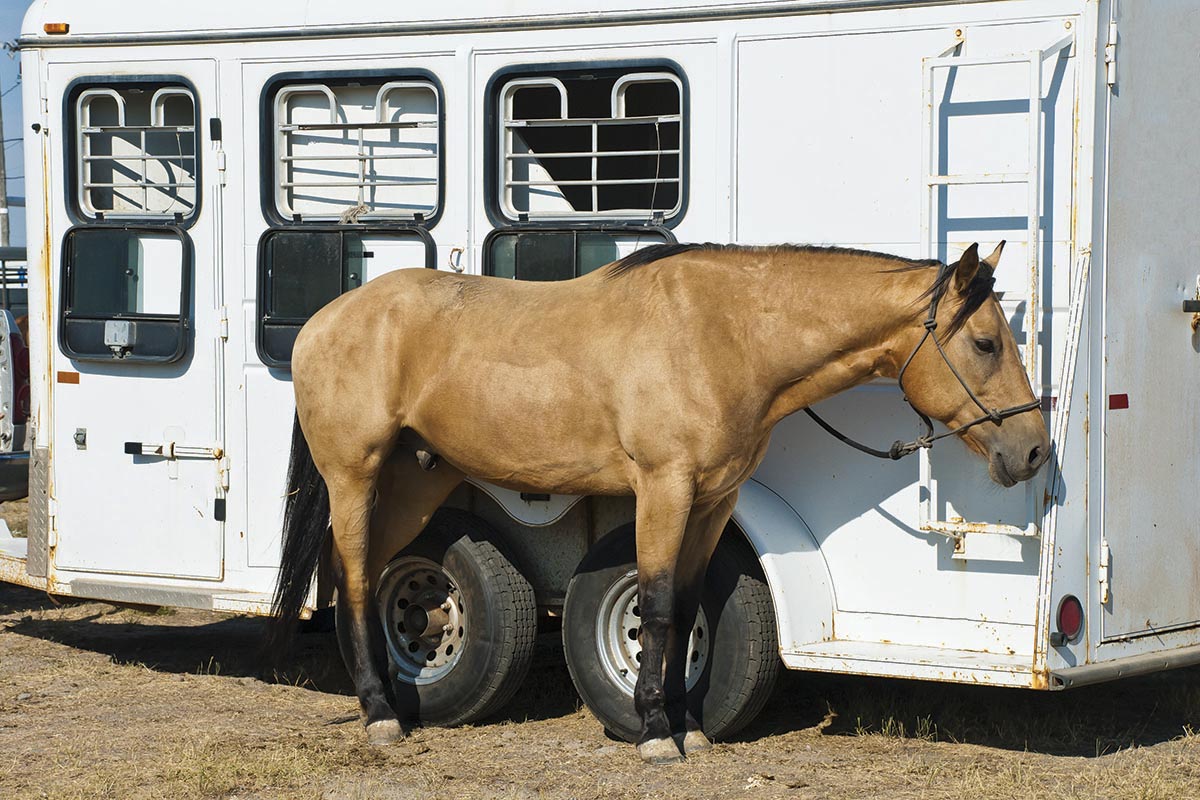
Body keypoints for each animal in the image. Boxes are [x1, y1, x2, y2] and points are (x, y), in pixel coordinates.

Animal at [270, 239, 1051, 762]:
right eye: (986, 343)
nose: (1034, 451)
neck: (723, 335)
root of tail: (322, 322)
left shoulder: (711, 500)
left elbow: (685, 605)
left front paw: (689, 726)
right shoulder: (663, 490)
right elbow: (656, 605)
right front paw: (652, 732)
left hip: (415, 482)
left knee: (359, 573)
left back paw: (390, 699)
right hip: (356, 476)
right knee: (355, 575)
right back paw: (379, 714)